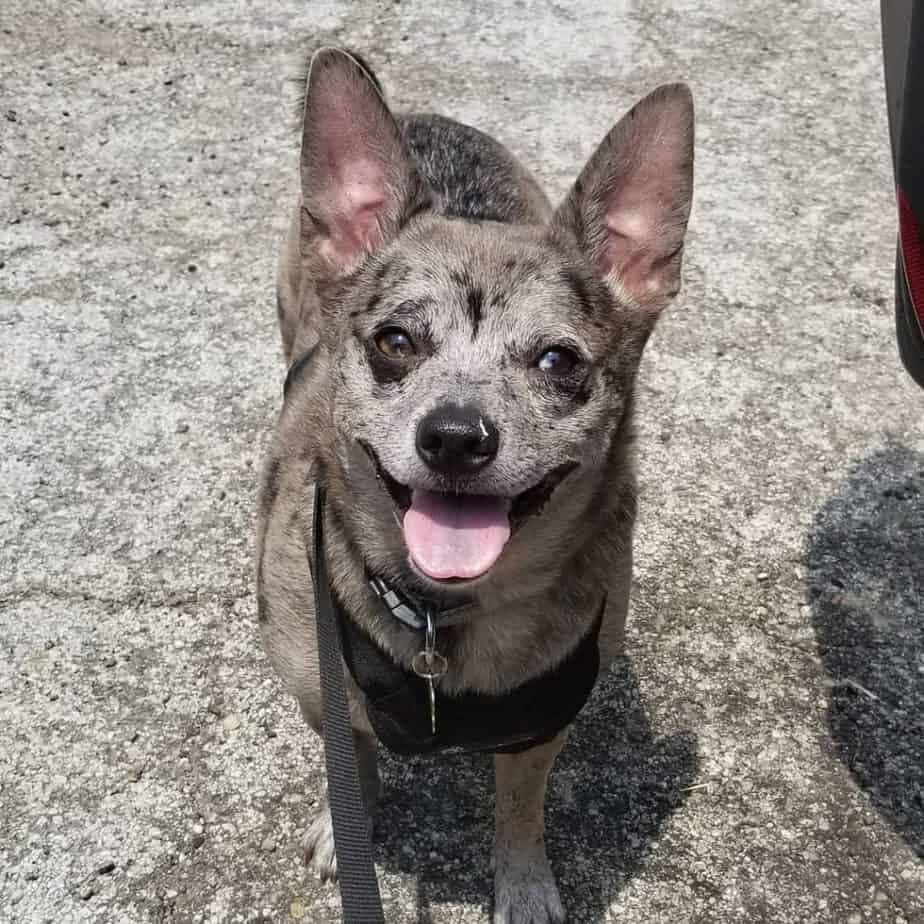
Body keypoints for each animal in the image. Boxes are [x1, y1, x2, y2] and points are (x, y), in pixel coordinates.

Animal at [258, 48, 692, 924]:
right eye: (395, 341)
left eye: (558, 361)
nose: (457, 435)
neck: (440, 616)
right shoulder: (321, 697)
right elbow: (352, 763)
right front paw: (345, 829)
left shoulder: (540, 728)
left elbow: (520, 811)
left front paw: (523, 885)